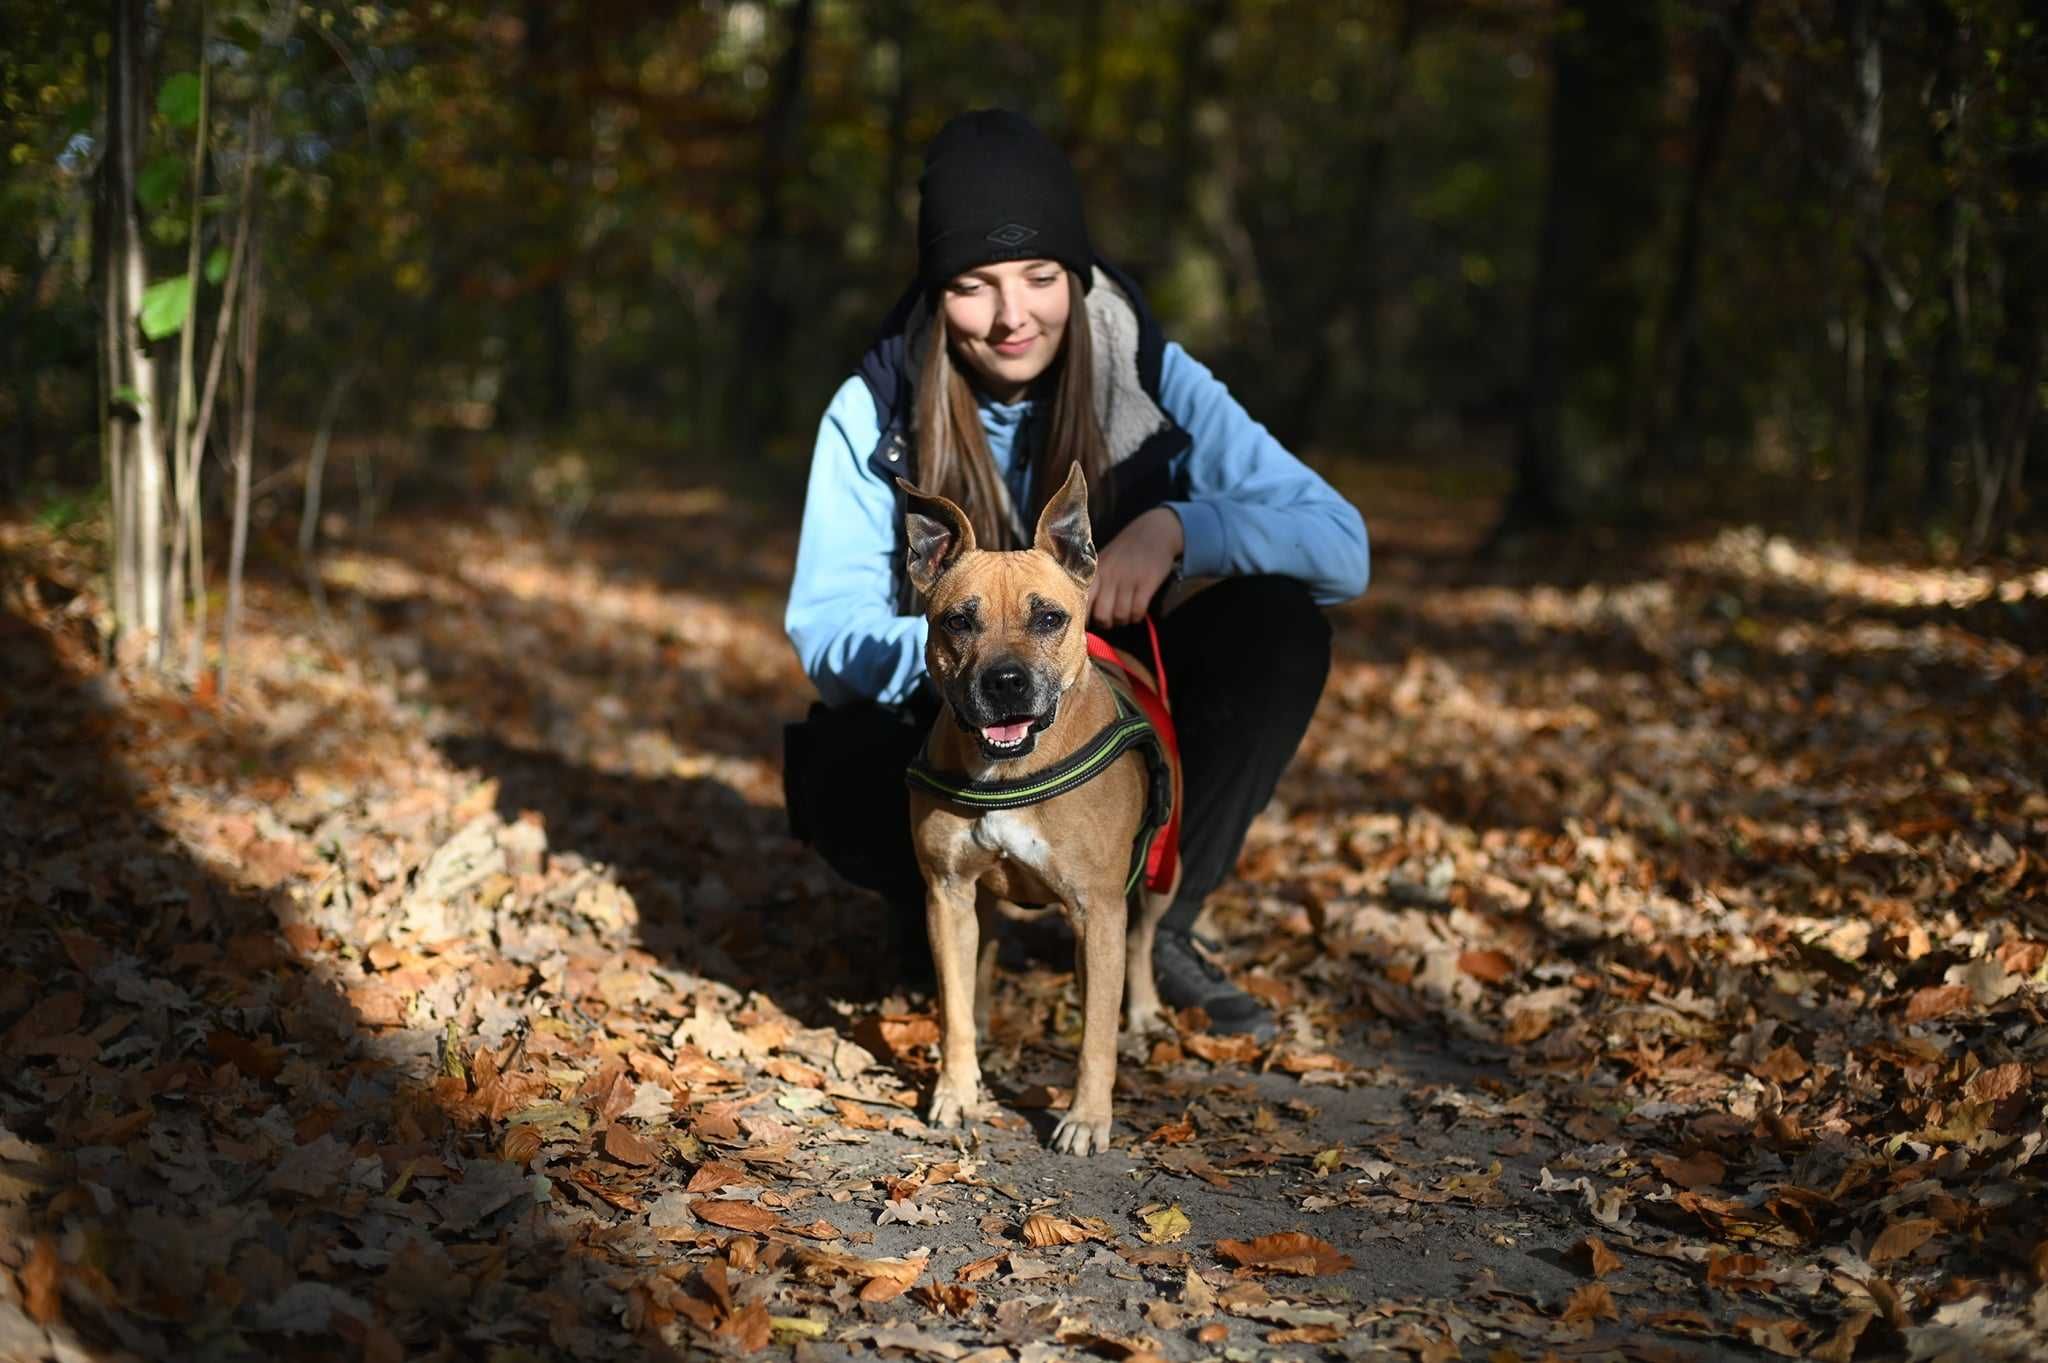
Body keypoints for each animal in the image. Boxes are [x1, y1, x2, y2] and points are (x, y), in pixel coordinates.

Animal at [901, 462, 1187, 1154]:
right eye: (958, 622)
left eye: (1050, 618)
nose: (1005, 682)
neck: (1009, 767)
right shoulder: (946, 893)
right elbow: (953, 1007)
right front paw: (956, 1092)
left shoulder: (1099, 909)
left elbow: (1095, 1033)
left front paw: (1087, 1117)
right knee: (980, 968)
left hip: (1162, 871)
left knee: (1142, 942)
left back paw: (1142, 1011)